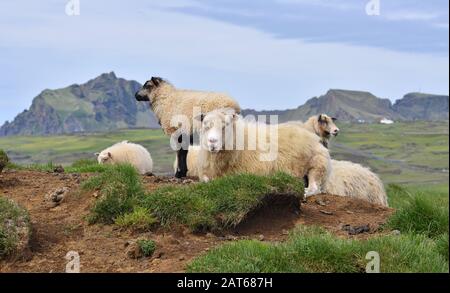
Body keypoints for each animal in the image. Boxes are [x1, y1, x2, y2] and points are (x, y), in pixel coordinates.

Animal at [196, 108, 330, 196]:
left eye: (225, 126)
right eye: (206, 126)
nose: (212, 142)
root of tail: (314, 138)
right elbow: (206, 180)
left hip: (317, 165)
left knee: (315, 188)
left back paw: (305, 191)